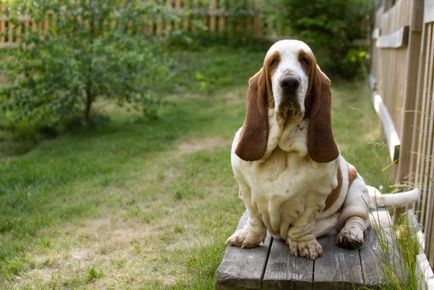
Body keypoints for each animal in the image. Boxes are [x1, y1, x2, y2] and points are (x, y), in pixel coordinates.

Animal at [225, 39, 418, 260]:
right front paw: (248, 237)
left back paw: (350, 236)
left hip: (356, 193)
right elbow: (255, 219)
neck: (282, 150)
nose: (289, 82)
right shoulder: (247, 191)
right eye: (273, 62)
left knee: (358, 220)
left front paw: (304, 245)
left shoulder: (315, 196)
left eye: (305, 61)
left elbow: (302, 224)